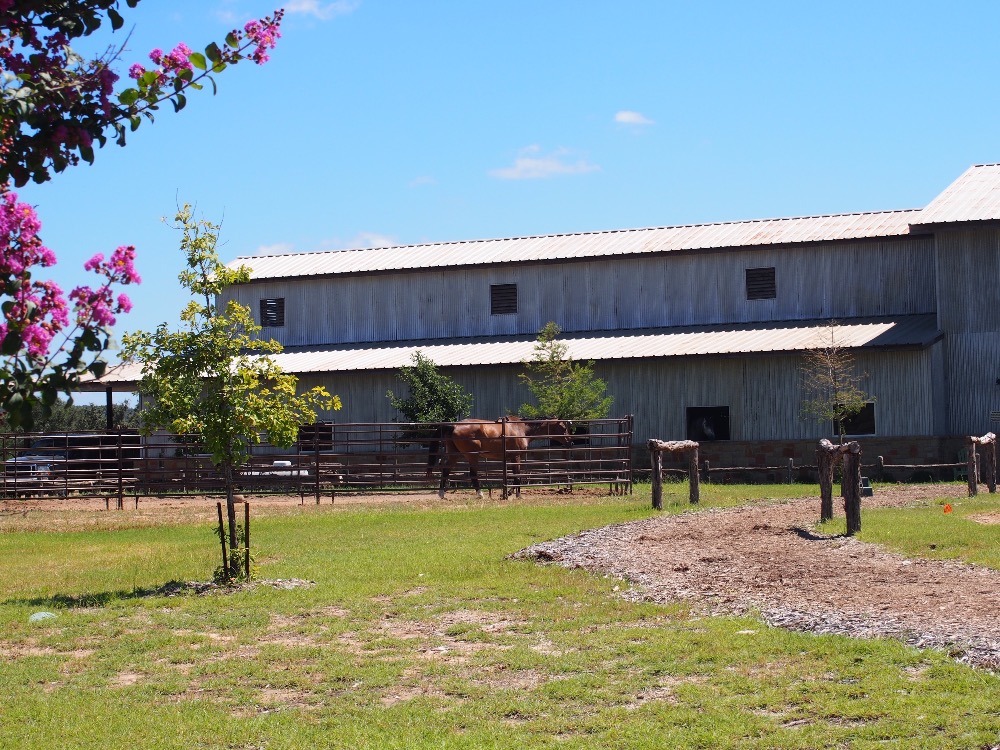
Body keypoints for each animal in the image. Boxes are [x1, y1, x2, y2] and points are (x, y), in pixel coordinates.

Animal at [436, 418, 572, 500]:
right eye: (563, 428)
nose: (570, 442)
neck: (520, 429)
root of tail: (454, 426)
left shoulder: (511, 458)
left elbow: (515, 476)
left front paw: (508, 493)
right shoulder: (516, 457)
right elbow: (518, 476)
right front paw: (516, 495)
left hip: (454, 455)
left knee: (446, 470)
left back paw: (441, 494)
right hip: (472, 456)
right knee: (473, 474)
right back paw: (480, 494)